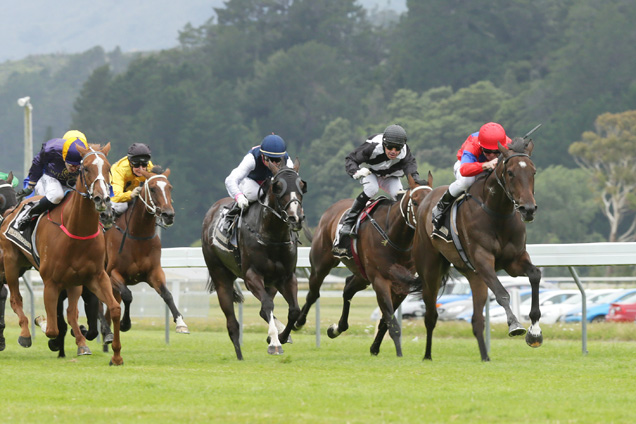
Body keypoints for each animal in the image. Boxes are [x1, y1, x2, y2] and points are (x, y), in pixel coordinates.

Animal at [0, 143, 125, 364]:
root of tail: (11, 212)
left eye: (108, 168)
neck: (77, 230)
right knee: (16, 299)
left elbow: (113, 308)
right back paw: (25, 334)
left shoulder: (94, 276)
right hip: (11, 262)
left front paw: (116, 356)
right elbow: (51, 328)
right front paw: (45, 327)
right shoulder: (51, 282)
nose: (102, 199)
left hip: (65, 279)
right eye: (86, 168)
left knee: (71, 312)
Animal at [102, 167, 181, 342]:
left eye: (170, 187)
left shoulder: (154, 272)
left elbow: (167, 294)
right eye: (152, 188)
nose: (168, 215)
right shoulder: (112, 273)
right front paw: (125, 324)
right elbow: (128, 295)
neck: (137, 236)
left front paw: (180, 322)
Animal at [201, 161, 306, 360]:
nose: (295, 217)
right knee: (232, 322)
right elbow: (267, 305)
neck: (272, 236)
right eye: (278, 187)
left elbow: (294, 310)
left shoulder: (287, 277)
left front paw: (282, 336)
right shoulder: (252, 276)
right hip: (220, 275)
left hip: (271, 283)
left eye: (302, 186)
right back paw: (240, 355)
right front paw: (274, 343)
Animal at [292, 171, 432, 354]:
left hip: (362, 274)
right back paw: (297, 323)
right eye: (415, 201)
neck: (393, 236)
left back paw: (336, 328)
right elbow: (390, 319)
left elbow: (386, 320)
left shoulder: (402, 285)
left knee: (347, 289)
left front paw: (375, 347)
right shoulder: (380, 280)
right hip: (320, 265)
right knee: (313, 294)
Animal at [412, 137, 540, 362]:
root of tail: (426, 199)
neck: (497, 214)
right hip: (430, 270)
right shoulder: (482, 260)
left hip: (473, 275)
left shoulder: (514, 261)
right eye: (510, 173)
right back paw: (427, 355)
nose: (528, 209)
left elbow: (535, 275)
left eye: (533, 172)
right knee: (430, 315)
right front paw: (515, 325)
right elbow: (502, 293)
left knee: (476, 320)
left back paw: (485, 357)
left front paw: (535, 332)